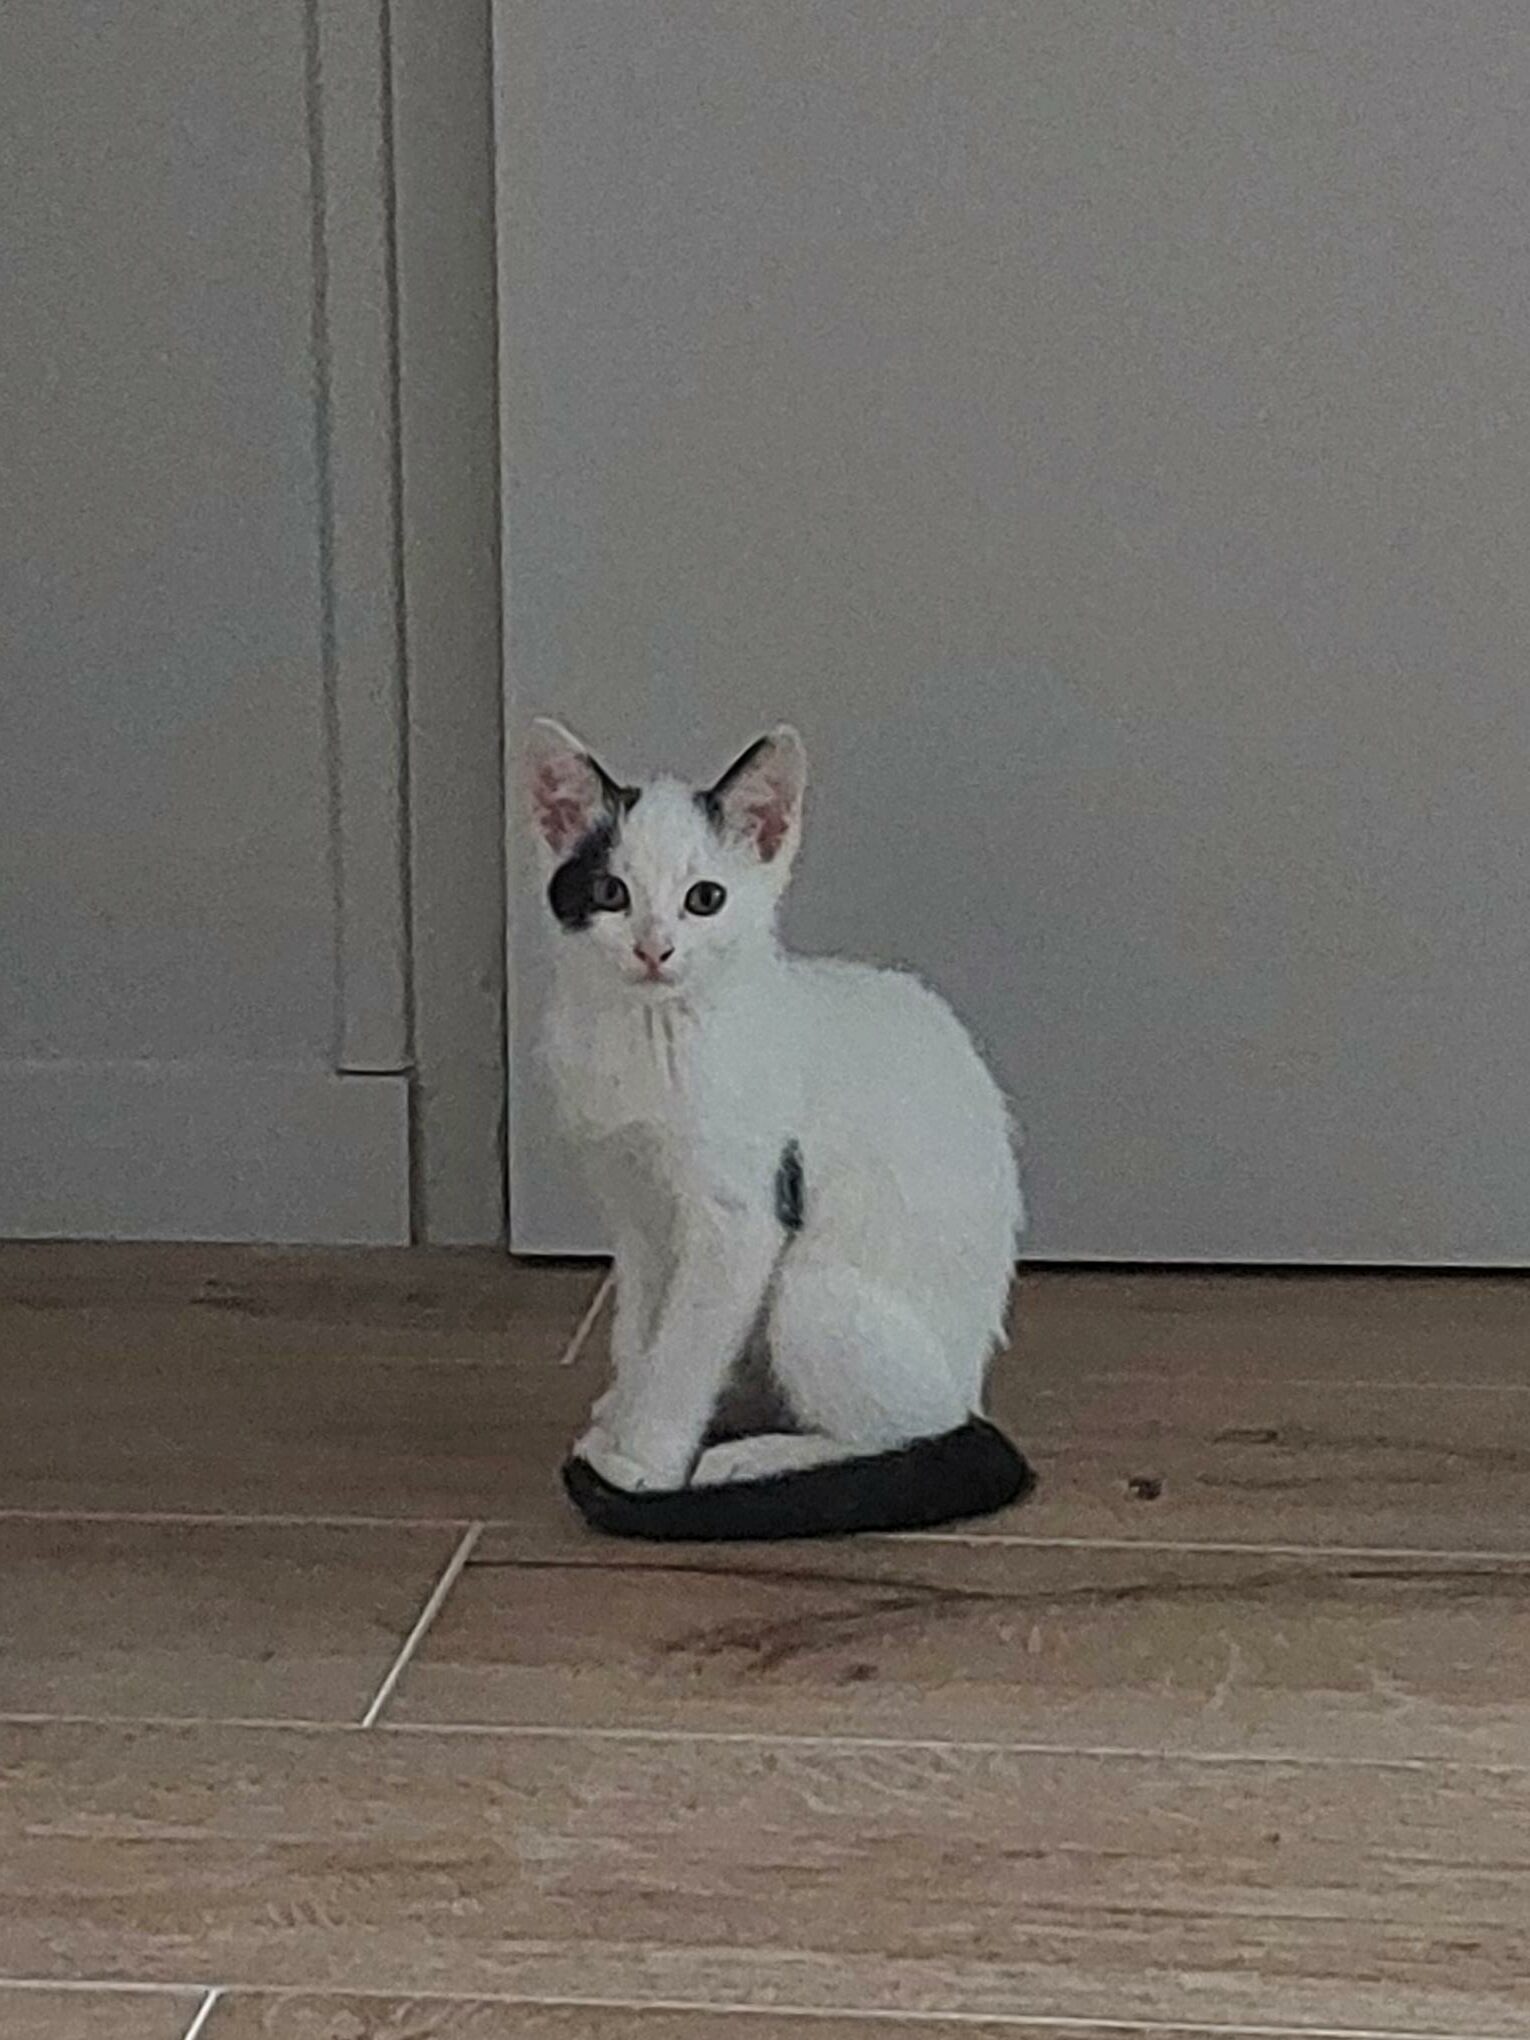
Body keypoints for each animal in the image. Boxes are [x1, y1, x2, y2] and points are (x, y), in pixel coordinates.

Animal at [527, 718, 1024, 1494]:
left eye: (705, 898)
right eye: (609, 891)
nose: (653, 948)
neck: (652, 1032)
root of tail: (970, 1376)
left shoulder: (739, 1220)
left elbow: (684, 1351)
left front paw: (644, 1458)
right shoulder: (636, 1213)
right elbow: (641, 1329)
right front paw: (623, 1412)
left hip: (810, 1292)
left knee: (919, 1427)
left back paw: (756, 1456)